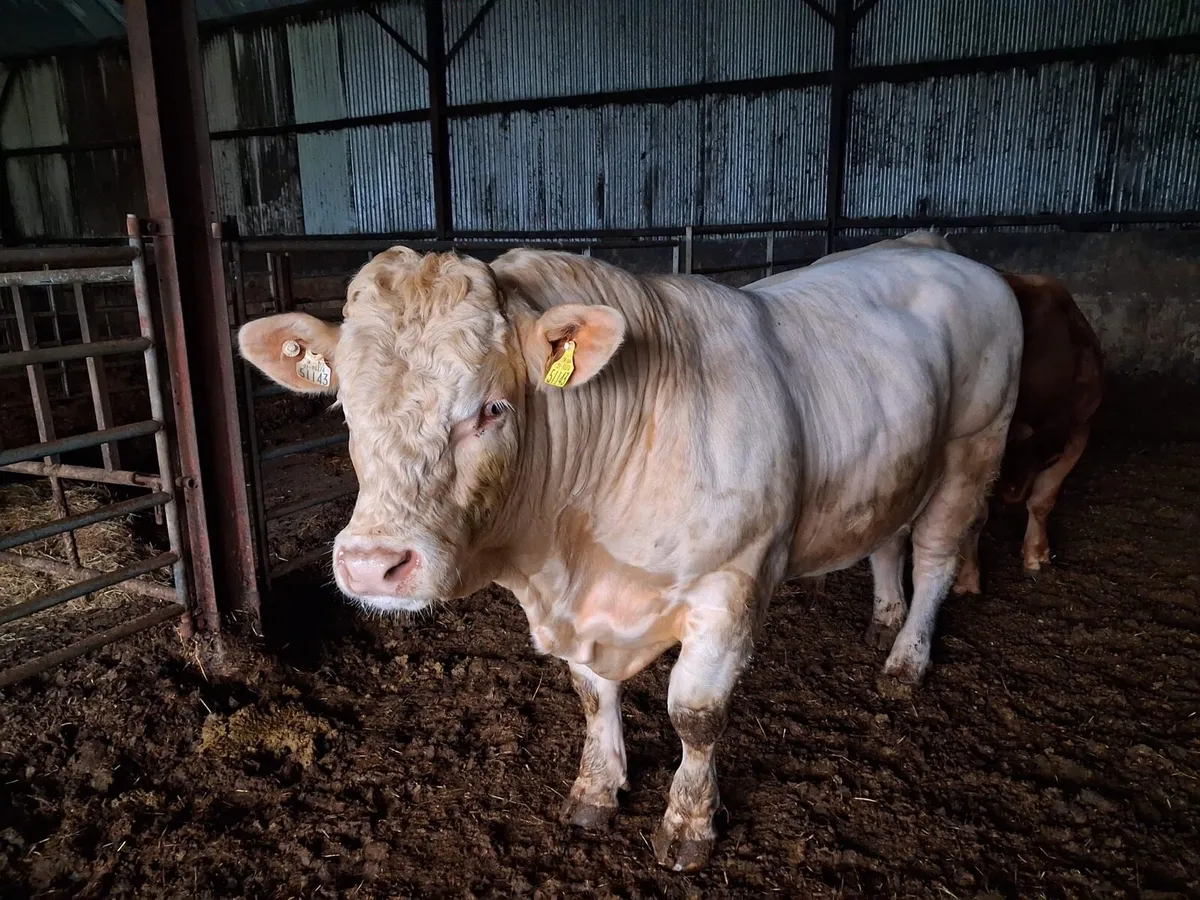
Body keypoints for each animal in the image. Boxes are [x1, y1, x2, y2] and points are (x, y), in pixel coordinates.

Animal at [238, 244, 1022, 872]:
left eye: (492, 409)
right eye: (344, 409)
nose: (373, 564)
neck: (573, 556)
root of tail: (940, 250)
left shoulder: (730, 587)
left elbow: (695, 715)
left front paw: (689, 823)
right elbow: (591, 692)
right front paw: (595, 787)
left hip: (974, 447)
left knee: (937, 554)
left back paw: (908, 656)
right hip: (900, 463)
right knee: (889, 536)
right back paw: (884, 616)